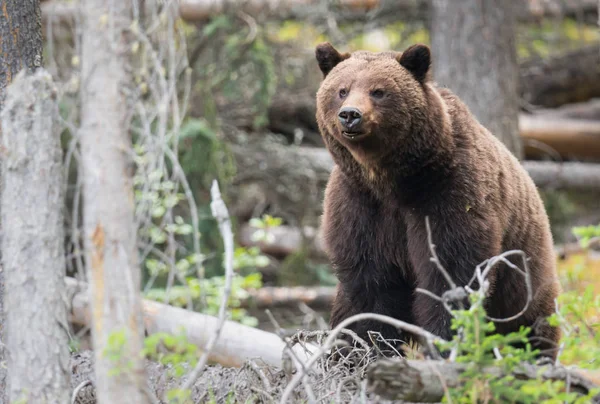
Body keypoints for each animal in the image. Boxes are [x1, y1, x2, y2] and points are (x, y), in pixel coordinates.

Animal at [316, 42, 560, 358]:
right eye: (342, 90)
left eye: (378, 91)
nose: (350, 114)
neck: (390, 180)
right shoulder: (359, 204)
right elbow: (371, 284)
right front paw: (367, 345)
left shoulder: (448, 194)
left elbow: (450, 274)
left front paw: (446, 343)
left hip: (525, 275)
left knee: (531, 327)